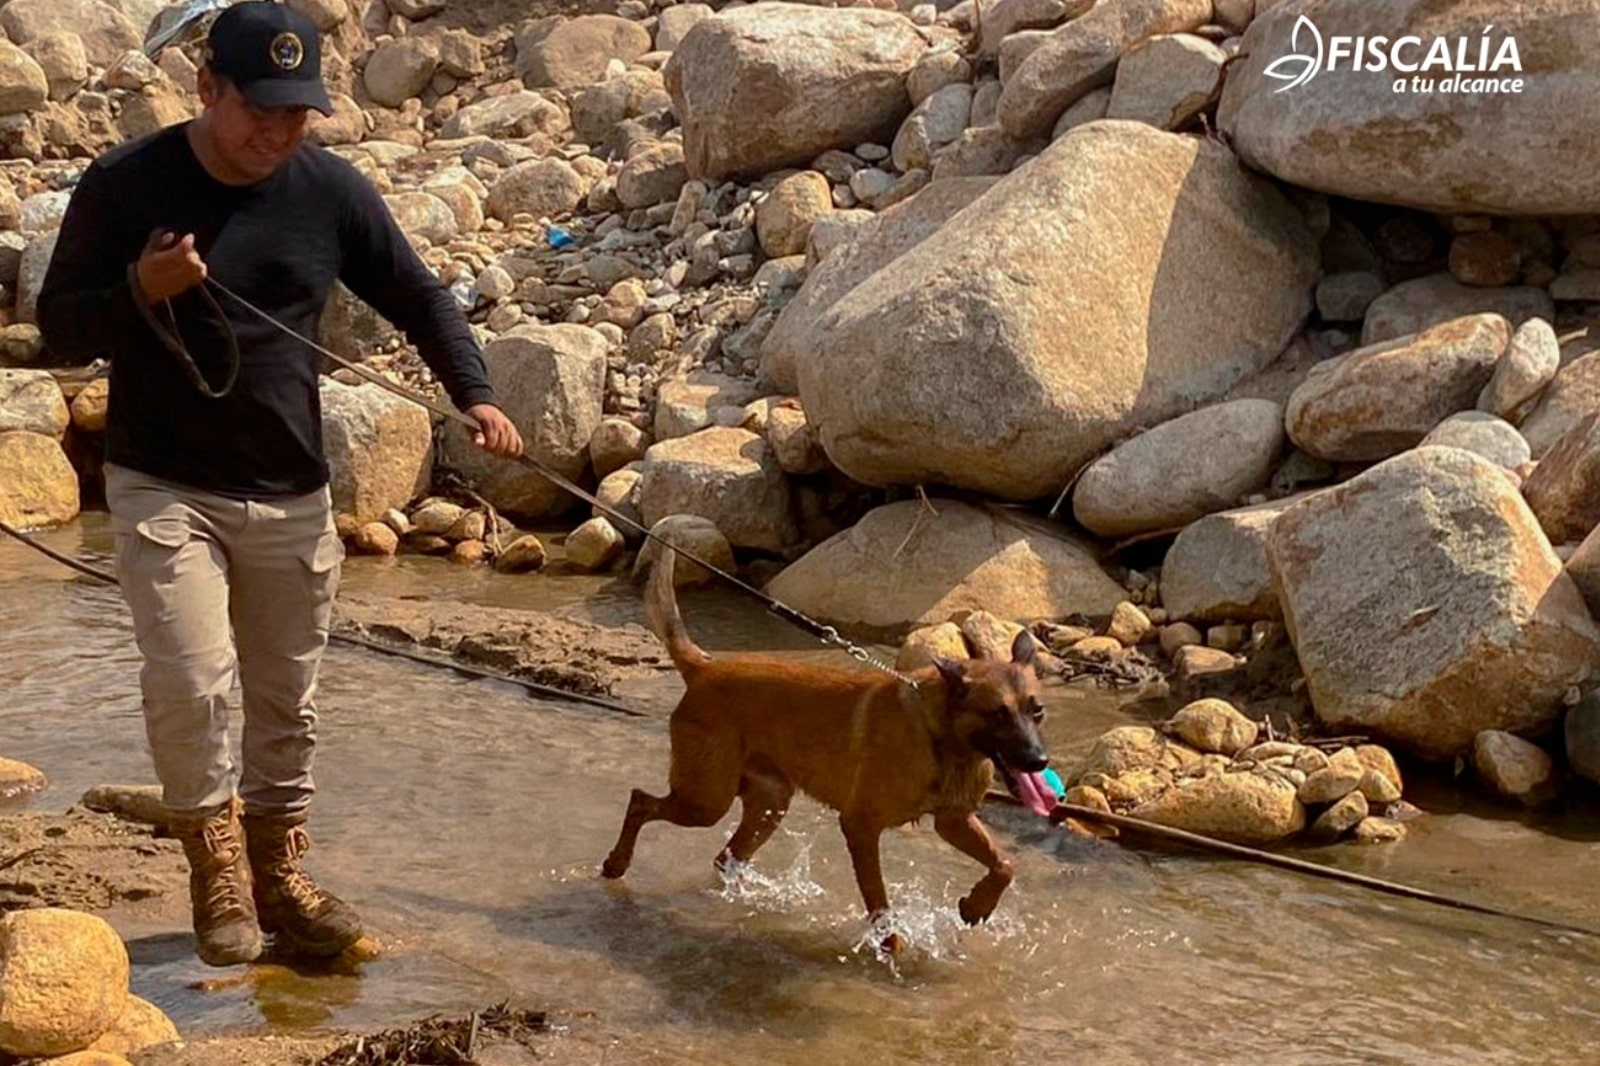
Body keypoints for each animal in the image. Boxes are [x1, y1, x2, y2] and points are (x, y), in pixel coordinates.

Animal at [601, 544, 1049, 941]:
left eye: (1037, 710)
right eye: (997, 714)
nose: (1039, 761)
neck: (939, 736)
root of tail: (703, 667)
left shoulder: (953, 821)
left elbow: (1005, 864)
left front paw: (976, 905)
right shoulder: (860, 826)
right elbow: (879, 900)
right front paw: (890, 945)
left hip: (767, 804)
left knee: (724, 855)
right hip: (706, 800)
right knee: (640, 801)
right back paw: (616, 863)